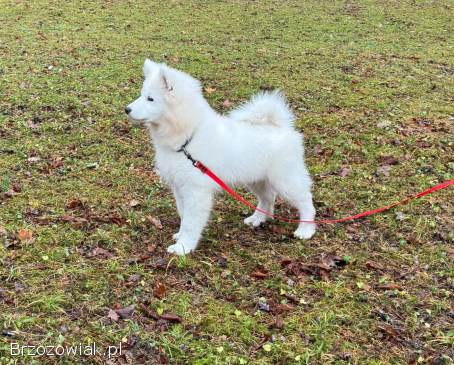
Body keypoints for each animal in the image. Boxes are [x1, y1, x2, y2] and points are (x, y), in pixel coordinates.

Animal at [124, 59, 316, 253]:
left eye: (150, 99)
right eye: (142, 95)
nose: (126, 109)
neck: (188, 139)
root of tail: (281, 127)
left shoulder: (196, 191)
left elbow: (190, 222)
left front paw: (183, 247)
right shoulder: (179, 187)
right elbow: (183, 214)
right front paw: (180, 238)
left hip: (286, 180)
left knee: (306, 201)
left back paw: (306, 230)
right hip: (257, 179)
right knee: (268, 198)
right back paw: (257, 219)